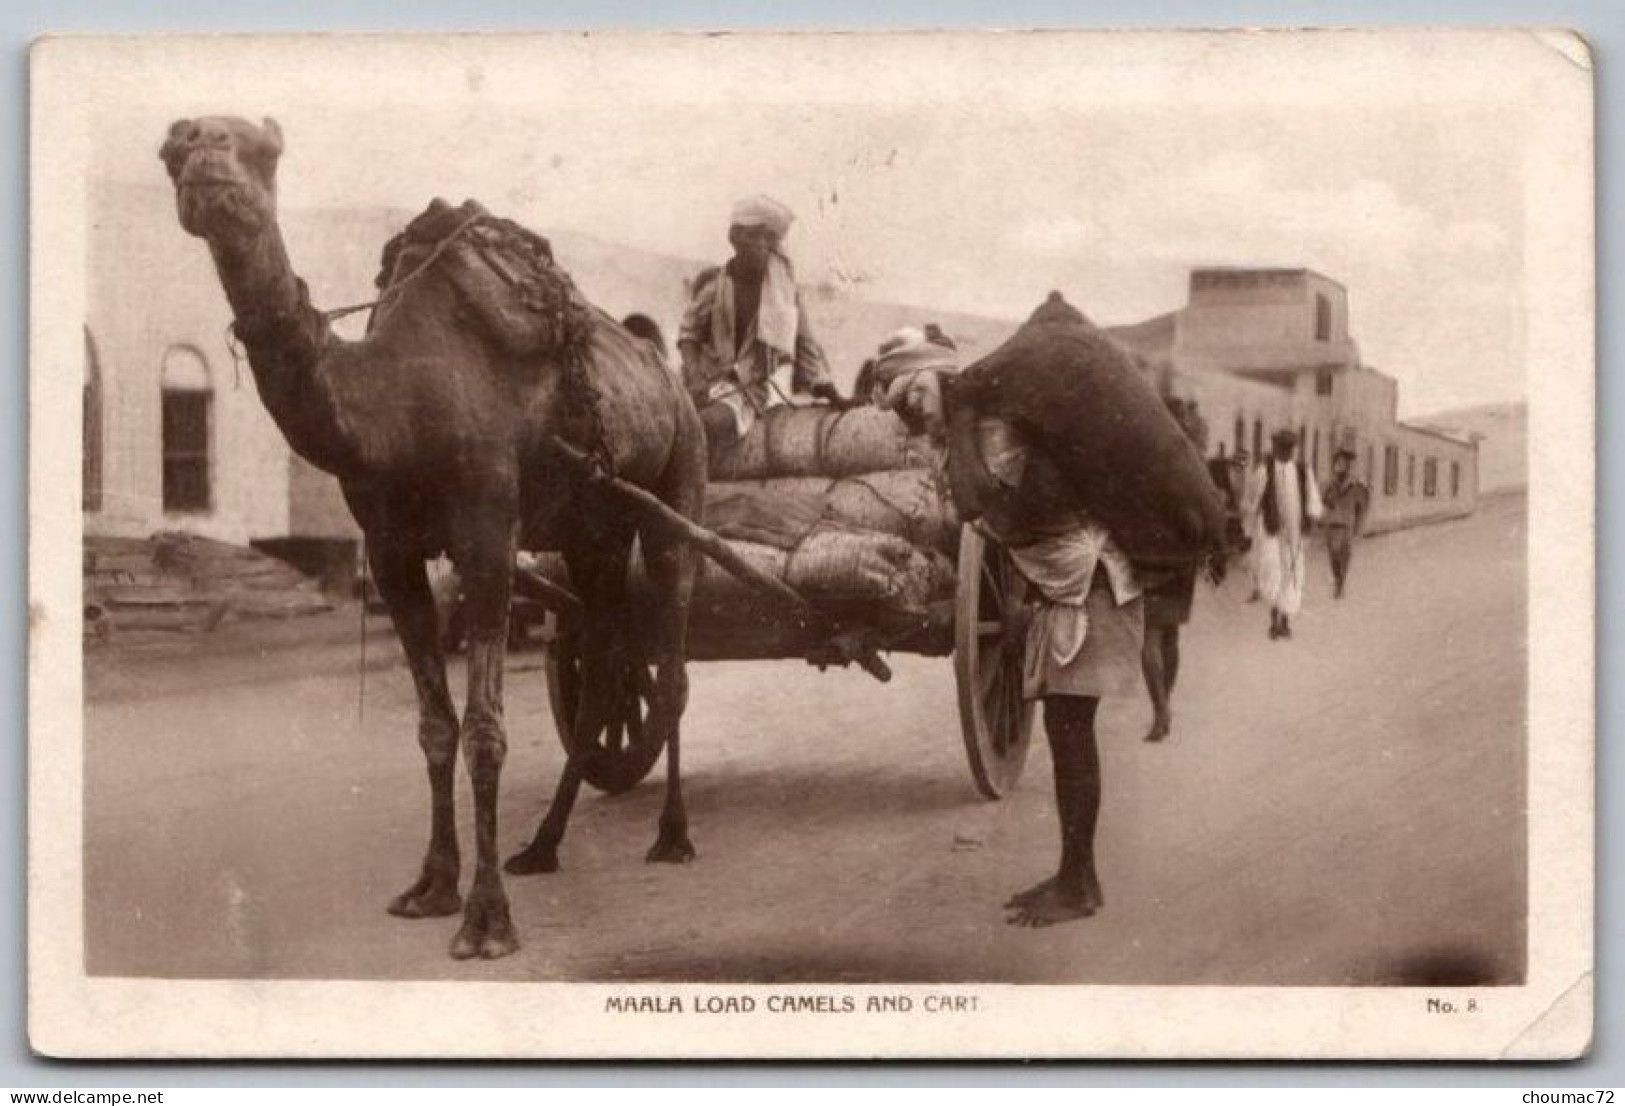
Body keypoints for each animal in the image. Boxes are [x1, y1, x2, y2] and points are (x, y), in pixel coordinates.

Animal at [160, 114, 711, 954]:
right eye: (172, 151)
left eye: (261, 149)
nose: (202, 155)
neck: (395, 403)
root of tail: (665, 372)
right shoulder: (390, 552)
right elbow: (434, 726)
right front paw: (432, 886)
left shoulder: (487, 533)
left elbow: (485, 728)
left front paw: (486, 919)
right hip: (593, 531)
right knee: (603, 666)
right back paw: (542, 845)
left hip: (677, 485)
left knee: (672, 665)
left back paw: (672, 836)